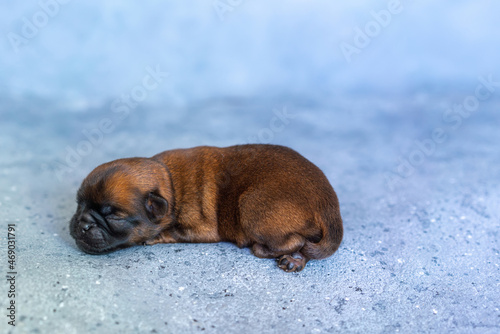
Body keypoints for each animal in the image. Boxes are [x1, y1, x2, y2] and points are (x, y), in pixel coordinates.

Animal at [69, 144, 344, 272]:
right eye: (78, 203)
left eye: (114, 216)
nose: (82, 224)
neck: (170, 183)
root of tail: (328, 203)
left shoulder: (201, 228)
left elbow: (173, 232)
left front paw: (156, 237)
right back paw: (295, 261)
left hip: (252, 205)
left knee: (296, 240)